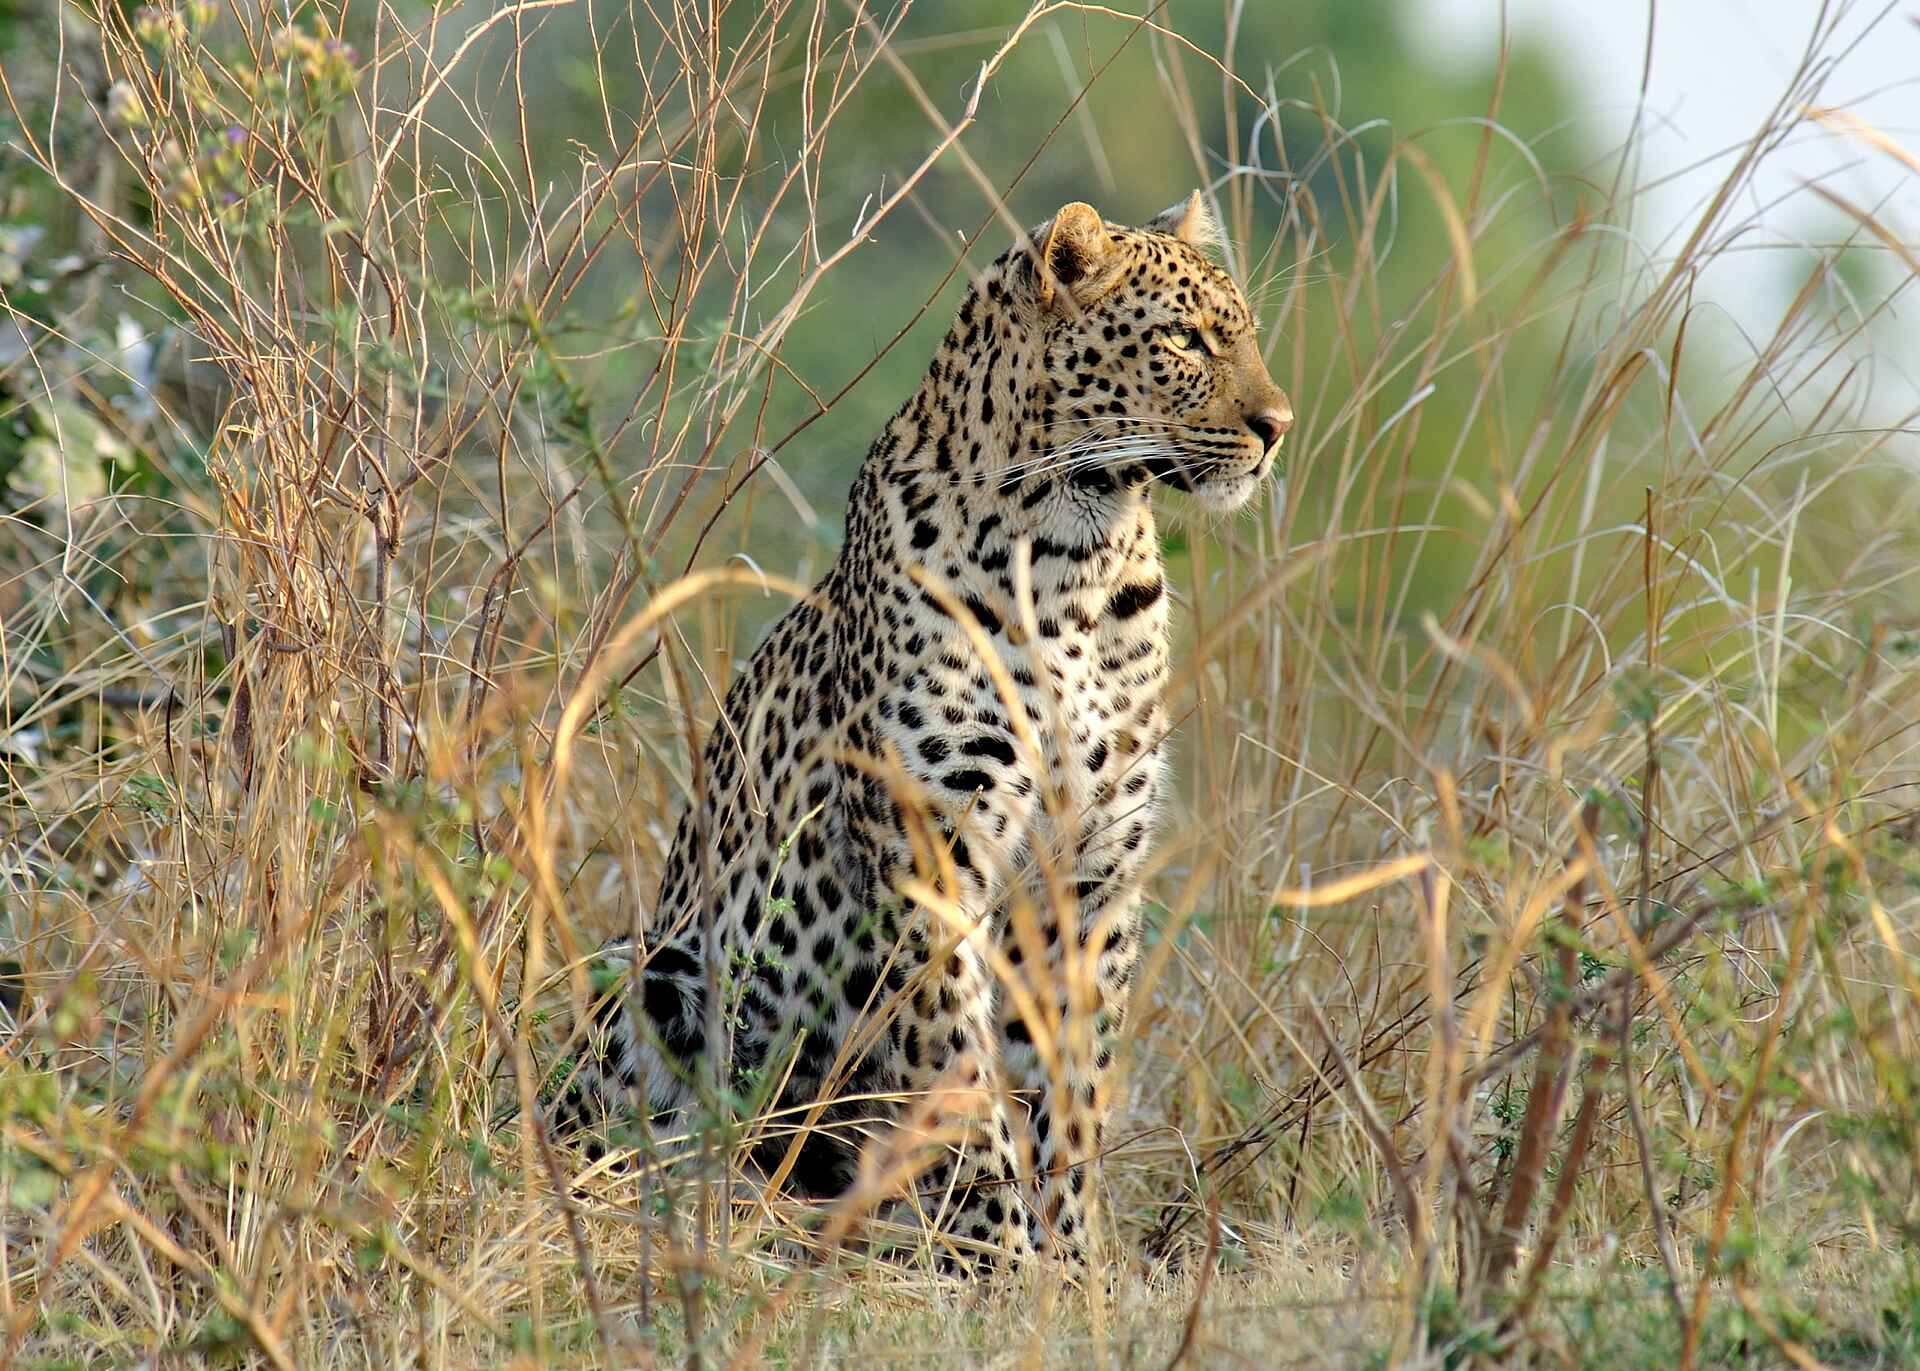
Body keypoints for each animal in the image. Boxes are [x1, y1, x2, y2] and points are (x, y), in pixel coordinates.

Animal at [548, 192, 1293, 1274]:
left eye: (1245, 334)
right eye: (1185, 340)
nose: (1277, 426)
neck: (1073, 549)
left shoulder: (1091, 868)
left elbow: (1070, 1081)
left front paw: (1073, 1263)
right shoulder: (930, 844)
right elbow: (960, 1068)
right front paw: (996, 1258)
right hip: (656, 964)